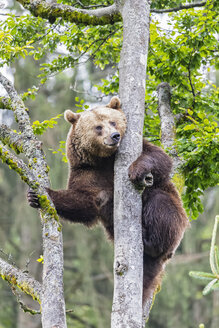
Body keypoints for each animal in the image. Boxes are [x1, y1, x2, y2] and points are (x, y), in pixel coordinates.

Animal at [27, 96, 188, 304]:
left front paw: (136, 170)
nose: (115, 136)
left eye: (113, 122)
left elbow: (159, 158)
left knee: (160, 204)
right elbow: (85, 203)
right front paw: (36, 196)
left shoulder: (138, 149)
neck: (103, 160)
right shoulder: (87, 173)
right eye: (98, 127)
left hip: (177, 219)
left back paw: (151, 241)